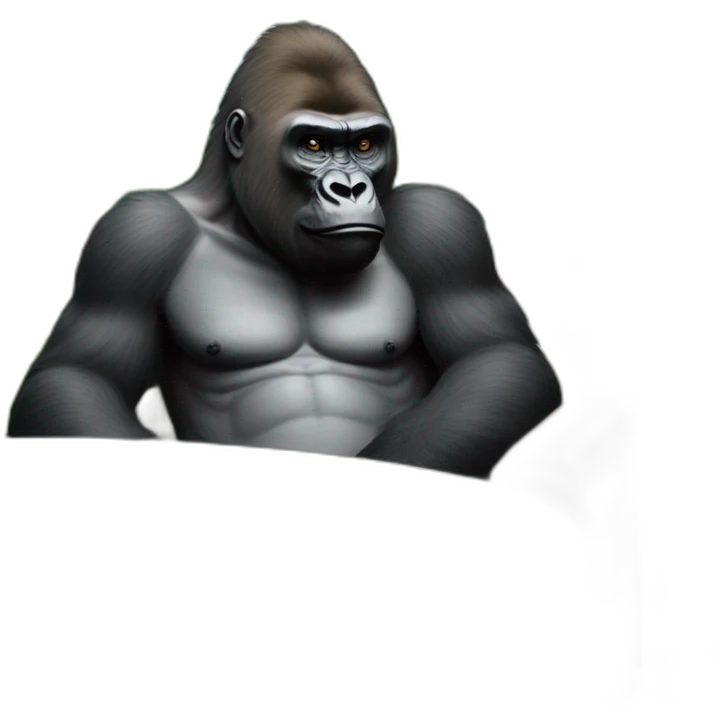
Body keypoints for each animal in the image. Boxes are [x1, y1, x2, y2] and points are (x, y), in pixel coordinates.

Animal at [5, 21, 563, 481]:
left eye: (365, 146)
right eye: (313, 145)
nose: (350, 190)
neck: (241, 218)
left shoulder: (443, 221)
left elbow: (499, 356)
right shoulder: (135, 232)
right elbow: (75, 377)